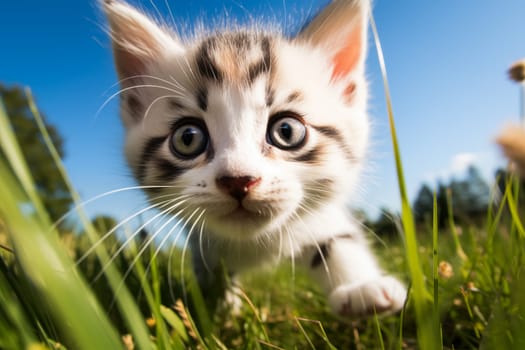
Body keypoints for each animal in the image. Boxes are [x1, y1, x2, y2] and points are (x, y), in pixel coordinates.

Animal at [101, 0, 406, 318]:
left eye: (287, 131)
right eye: (187, 138)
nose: (238, 180)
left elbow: (337, 241)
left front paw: (362, 288)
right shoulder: (200, 242)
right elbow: (212, 272)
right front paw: (223, 308)